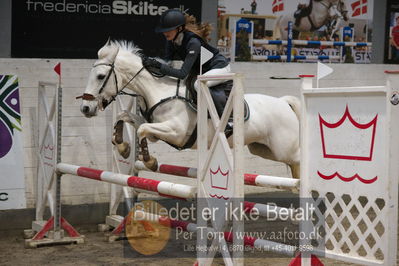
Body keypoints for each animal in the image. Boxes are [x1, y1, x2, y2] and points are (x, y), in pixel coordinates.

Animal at [78, 40, 302, 179]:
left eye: (100, 76)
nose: (85, 108)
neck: (159, 90)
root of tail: (283, 102)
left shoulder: (176, 132)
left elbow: (141, 130)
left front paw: (149, 161)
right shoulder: (155, 130)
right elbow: (125, 116)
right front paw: (123, 147)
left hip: (284, 148)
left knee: (300, 160)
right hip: (262, 149)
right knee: (293, 164)